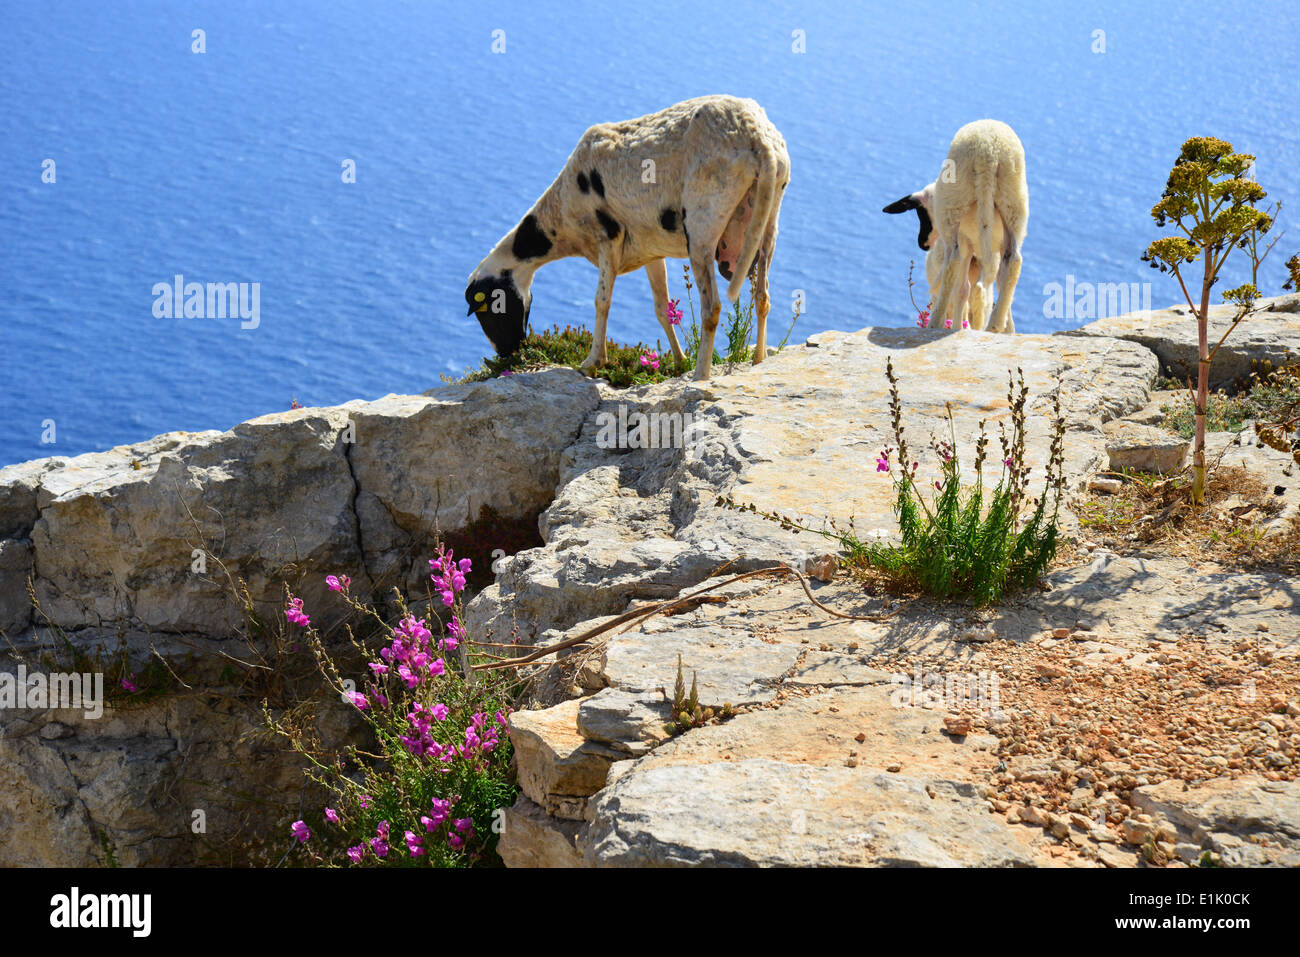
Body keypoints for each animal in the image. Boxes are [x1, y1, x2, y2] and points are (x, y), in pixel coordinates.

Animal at [467, 95, 790, 379]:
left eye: (491, 308)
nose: (508, 354)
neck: (560, 217)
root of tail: (760, 141)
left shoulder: (608, 236)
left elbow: (602, 301)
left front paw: (592, 363)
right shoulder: (651, 251)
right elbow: (661, 308)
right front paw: (678, 361)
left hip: (703, 223)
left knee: (712, 308)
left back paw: (700, 376)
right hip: (768, 219)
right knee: (763, 296)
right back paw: (758, 361)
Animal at [883, 119, 1024, 332]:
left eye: (921, 214)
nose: (922, 244)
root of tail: (988, 153)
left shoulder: (964, 242)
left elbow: (960, 290)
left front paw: (956, 326)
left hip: (953, 210)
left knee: (955, 262)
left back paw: (936, 322)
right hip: (1013, 204)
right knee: (1012, 262)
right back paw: (995, 326)